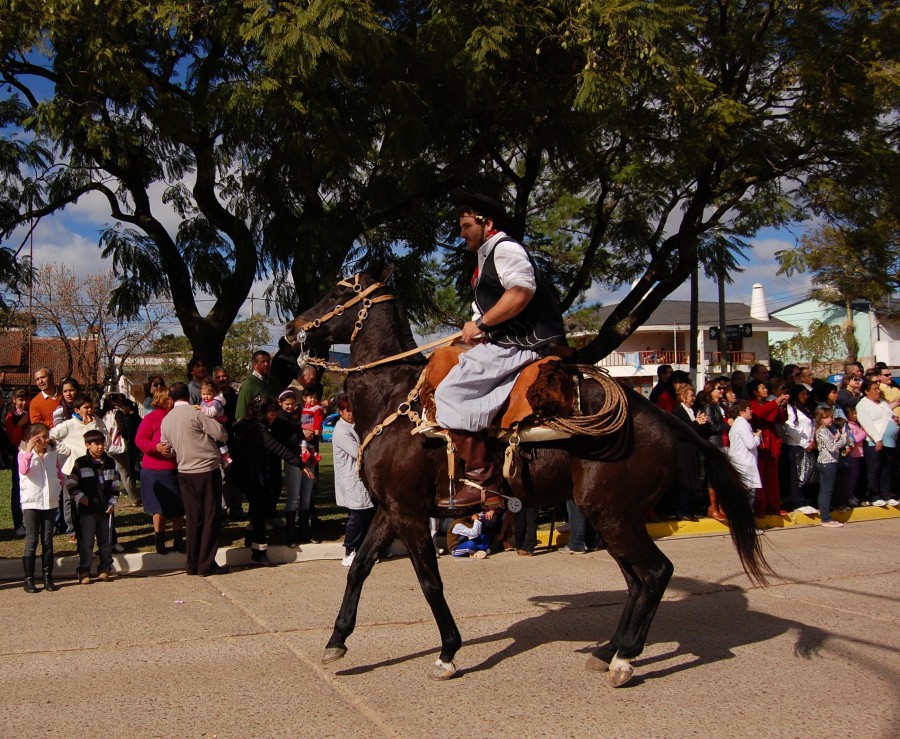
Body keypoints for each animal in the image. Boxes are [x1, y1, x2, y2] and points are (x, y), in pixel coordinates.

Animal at [284, 268, 768, 684]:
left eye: (338, 293)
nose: (292, 329)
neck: (394, 401)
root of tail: (664, 419)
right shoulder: (390, 510)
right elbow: (359, 568)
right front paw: (336, 641)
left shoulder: (407, 512)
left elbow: (429, 582)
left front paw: (448, 652)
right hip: (613, 516)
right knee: (637, 581)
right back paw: (608, 650)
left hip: (613, 515)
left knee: (655, 573)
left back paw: (624, 659)